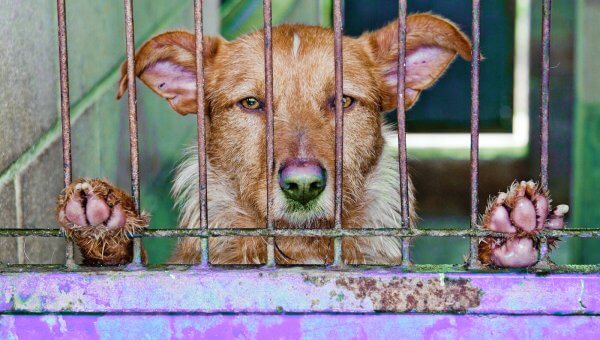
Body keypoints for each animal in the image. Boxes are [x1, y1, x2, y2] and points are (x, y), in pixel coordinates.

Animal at [55, 13, 568, 266]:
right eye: (251, 103)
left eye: (342, 101)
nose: (302, 185)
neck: (301, 249)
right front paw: (104, 226)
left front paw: (507, 237)